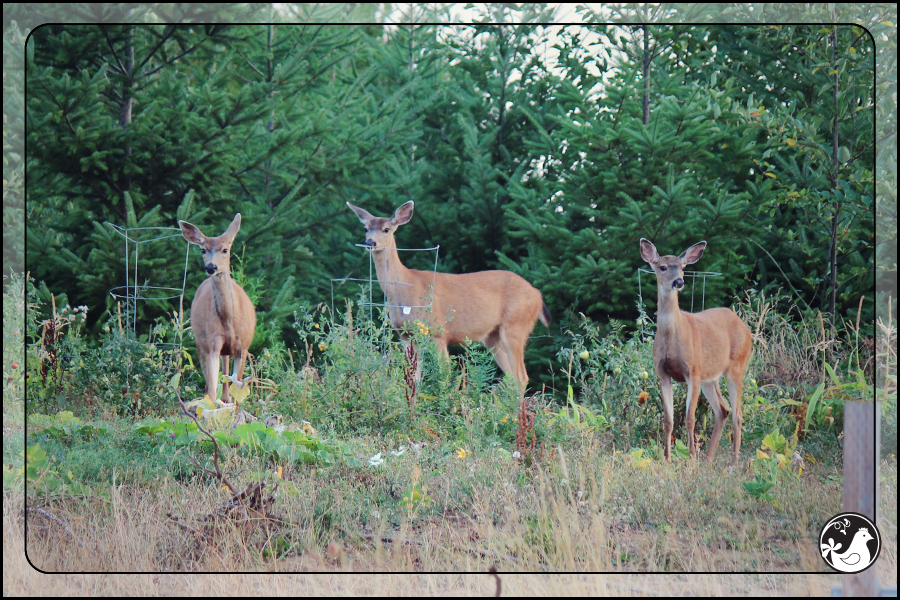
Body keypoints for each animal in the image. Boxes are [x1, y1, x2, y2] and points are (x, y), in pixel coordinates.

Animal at [179, 212, 256, 408]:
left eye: (225, 250)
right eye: (203, 250)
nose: (211, 267)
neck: (229, 320)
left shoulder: (243, 346)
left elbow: (238, 392)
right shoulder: (212, 343)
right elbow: (212, 393)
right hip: (201, 342)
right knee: (211, 384)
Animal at [348, 200, 552, 398]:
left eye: (386, 229)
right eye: (366, 228)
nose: (370, 242)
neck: (404, 288)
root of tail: (537, 294)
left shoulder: (437, 331)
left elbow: (444, 376)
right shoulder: (405, 335)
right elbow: (413, 382)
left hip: (516, 324)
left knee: (521, 377)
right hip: (493, 336)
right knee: (511, 377)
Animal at [640, 237, 752, 462]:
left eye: (683, 268)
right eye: (663, 267)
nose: (679, 282)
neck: (672, 337)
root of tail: (747, 329)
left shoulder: (692, 371)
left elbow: (690, 418)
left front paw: (691, 457)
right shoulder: (663, 373)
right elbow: (668, 420)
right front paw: (667, 458)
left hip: (736, 367)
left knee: (737, 413)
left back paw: (734, 459)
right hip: (710, 377)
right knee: (723, 410)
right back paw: (708, 458)